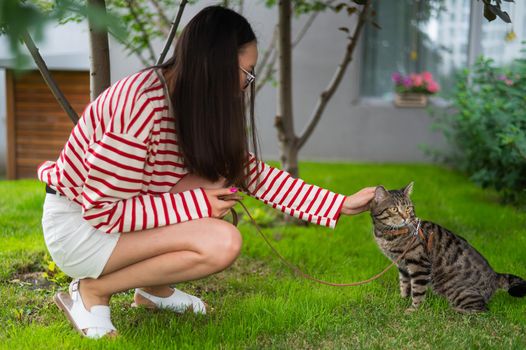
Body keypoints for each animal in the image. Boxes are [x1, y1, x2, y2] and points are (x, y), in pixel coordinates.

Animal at [372, 182, 526, 314]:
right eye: (394, 209)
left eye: (408, 208)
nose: (405, 217)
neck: (388, 235)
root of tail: (495, 275)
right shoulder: (403, 265)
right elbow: (404, 284)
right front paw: (402, 299)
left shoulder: (419, 264)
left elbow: (418, 290)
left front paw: (414, 309)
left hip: (458, 291)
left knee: (482, 309)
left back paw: (452, 310)